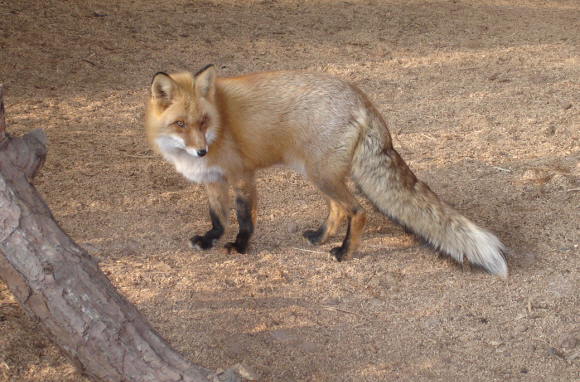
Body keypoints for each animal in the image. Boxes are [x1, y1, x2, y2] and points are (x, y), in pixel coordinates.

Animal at [145, 64, 508, 276]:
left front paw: (241, 247)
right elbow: (218, 217)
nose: (201, 150)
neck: (220, 124)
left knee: (356, 211)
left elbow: (244, 218)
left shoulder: (242, 175)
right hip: (317, 173)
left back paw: (345, 252)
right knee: (338, 210)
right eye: (181, 124)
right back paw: (320, 238)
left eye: (203, 121)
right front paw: (209, 240)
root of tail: (362, 98)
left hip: (321, 174)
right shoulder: (214, 180)